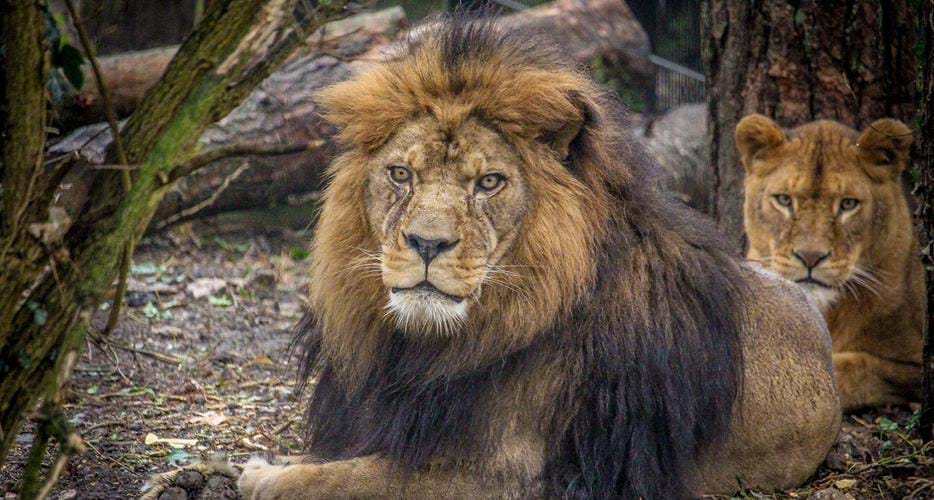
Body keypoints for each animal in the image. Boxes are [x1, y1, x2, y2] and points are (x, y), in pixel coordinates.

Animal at [144, 19, 840, 499]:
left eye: (489, 183)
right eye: (400, 174)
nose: (427, 244)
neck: (429, 346)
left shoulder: (500, 475)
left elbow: (334, 480)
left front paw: (258, 477)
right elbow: (322, 461)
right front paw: (199, 474)